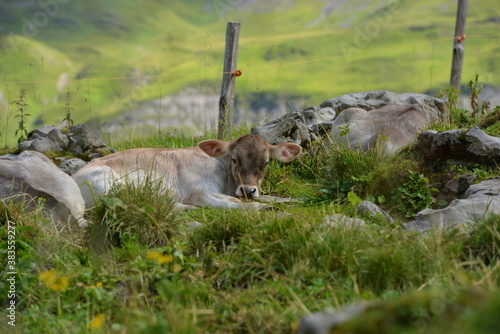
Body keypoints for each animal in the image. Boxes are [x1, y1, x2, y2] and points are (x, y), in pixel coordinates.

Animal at [72, 134, 302, 210]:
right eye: (235, 159)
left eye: (266, 163)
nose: (248, 189)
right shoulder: (199, 192)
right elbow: (234, 202)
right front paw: (261, 207)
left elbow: (272, 197)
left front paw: (293, 200)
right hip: (106, 182)